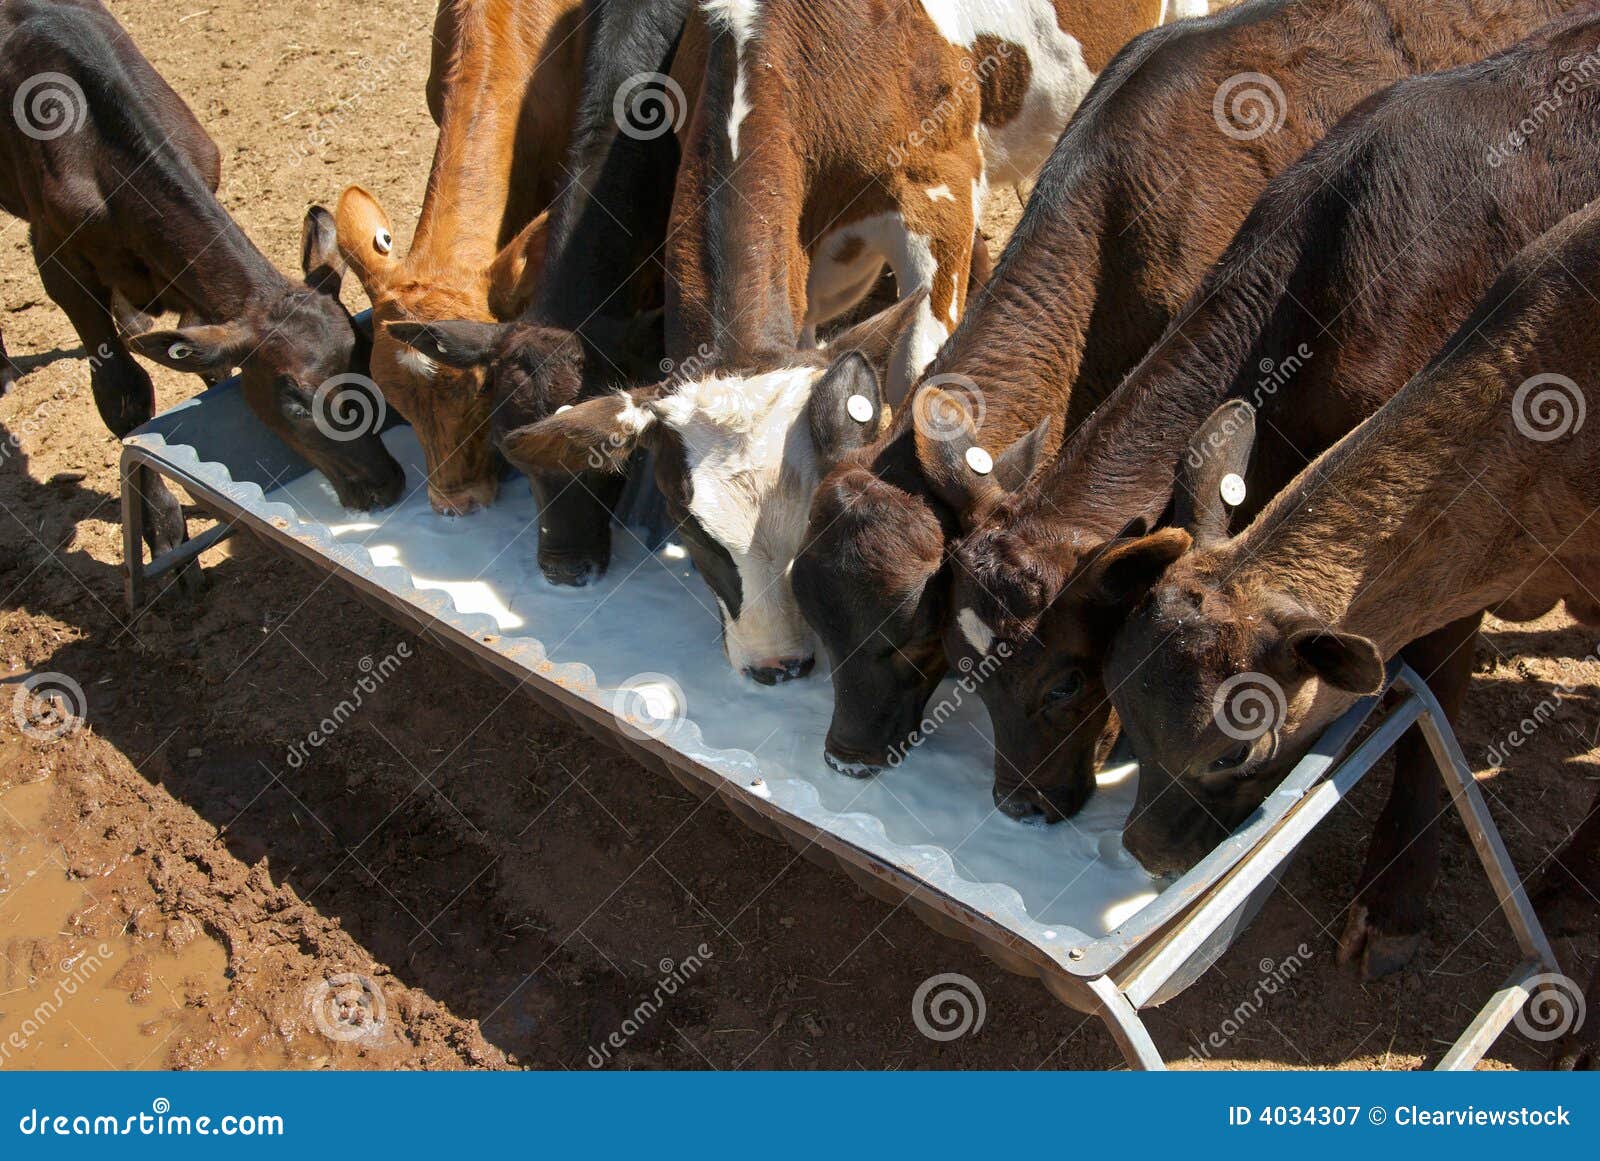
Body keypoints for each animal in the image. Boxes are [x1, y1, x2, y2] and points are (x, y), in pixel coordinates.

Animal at [0, 0, 403, 588]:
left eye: (368, 364)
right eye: (295, 404)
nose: (386, 484)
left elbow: (202, 351)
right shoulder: (56, 258)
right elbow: (124, 396)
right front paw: (166, 533)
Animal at [941, 2, 1600, 977]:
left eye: (1066, 681)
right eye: (961, 669)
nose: (1019, 805)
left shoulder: (1465, 521)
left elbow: (1435, 682)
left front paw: (1394, 898)